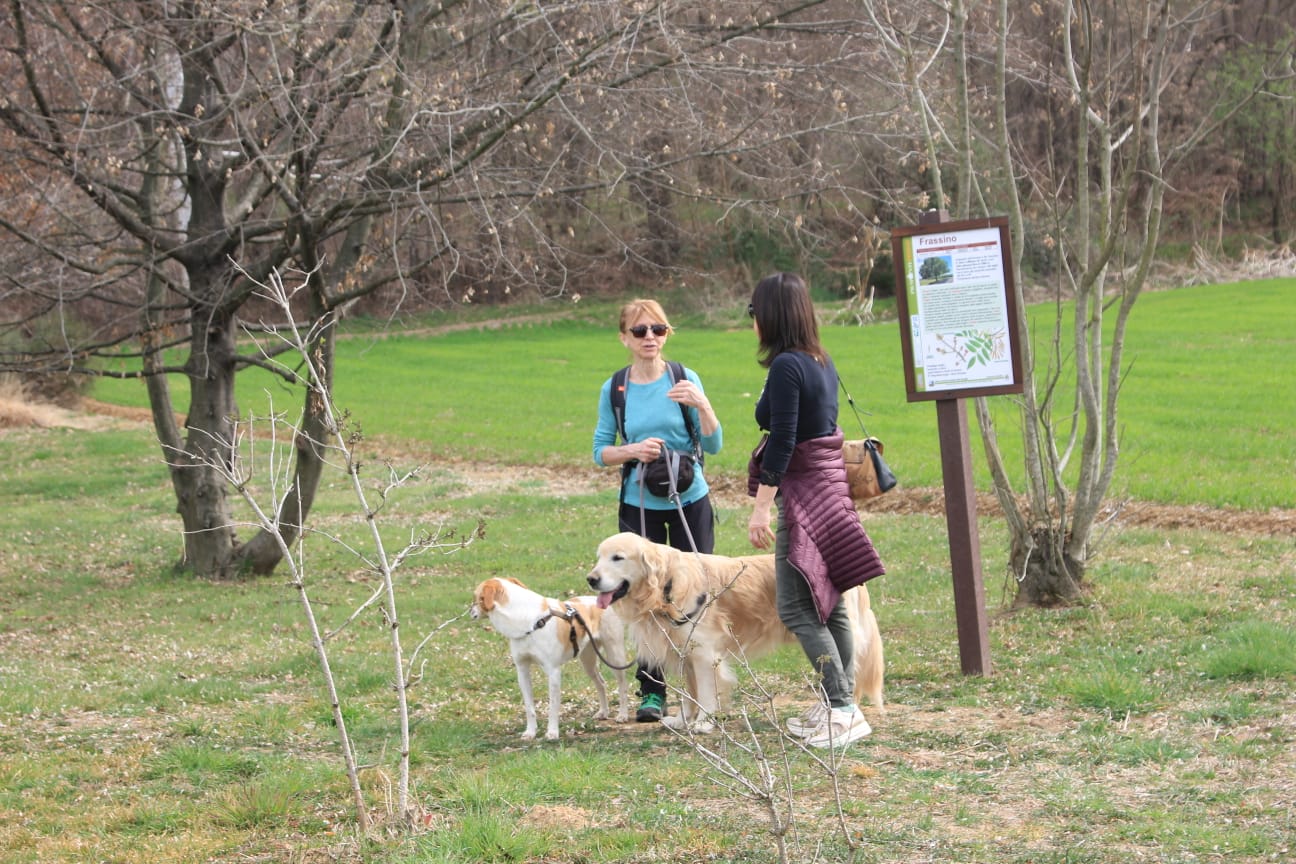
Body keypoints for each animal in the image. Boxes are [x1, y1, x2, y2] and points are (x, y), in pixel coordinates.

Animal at [471, 577, 632, 740]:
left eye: (477, 597)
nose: (470, 611)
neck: (527, 622)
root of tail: (599, 602)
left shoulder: (553, 671)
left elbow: (553, 706)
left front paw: (552, 732)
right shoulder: (522, 670)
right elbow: (529, 707)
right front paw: (530, 732)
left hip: (614, 655)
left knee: (622, 685)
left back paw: (622, 714)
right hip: (588, 660)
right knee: (601, 683)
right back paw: (603, 712)